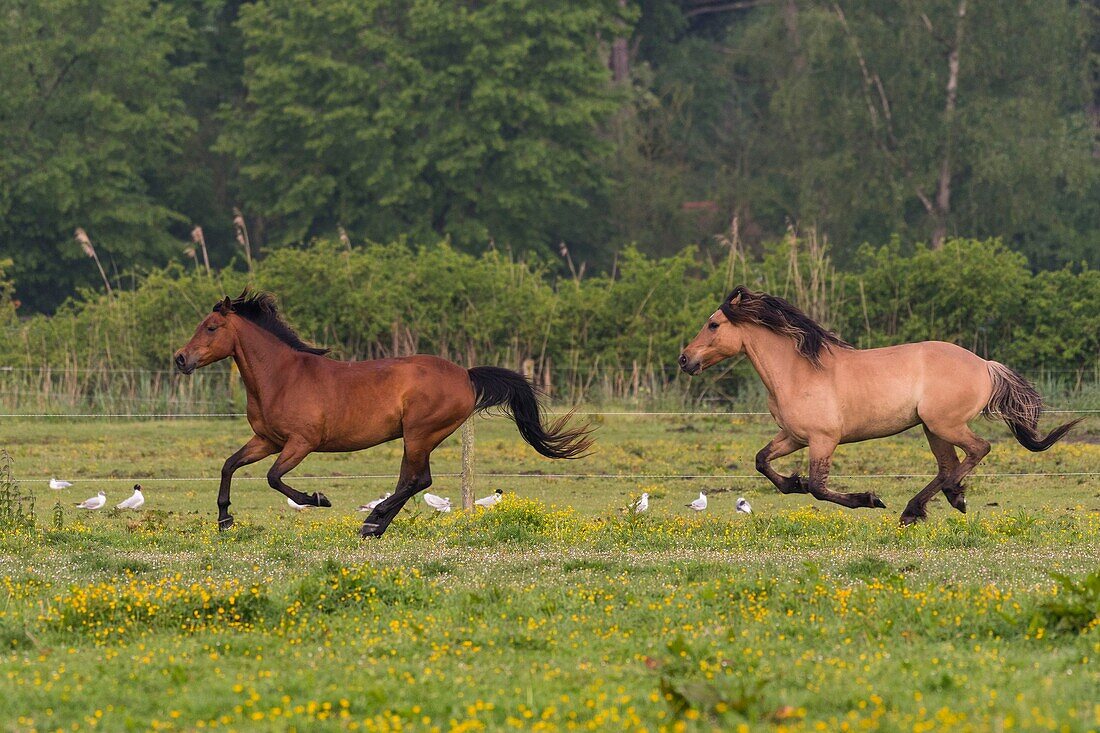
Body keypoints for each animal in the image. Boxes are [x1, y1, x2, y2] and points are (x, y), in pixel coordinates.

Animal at [173, 290, 594, 537]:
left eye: (211, 327)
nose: (180, 359)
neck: (282, 377)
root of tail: (466, 375)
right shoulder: (266, 440)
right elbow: (229, 465)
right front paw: (225, 520)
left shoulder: (300, 443)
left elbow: (274, 478)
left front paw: (318, 498)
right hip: (415, 437)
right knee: (410, 480)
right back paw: (375, 523)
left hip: (420, 434)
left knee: (417, 480)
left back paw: (371, 522)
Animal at [677, 283, 1082, 519]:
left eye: (713, 325)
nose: (684, 359)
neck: (798, 371)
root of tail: (984, 364)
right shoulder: (794, 437)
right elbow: (762, 461)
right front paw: (792, 483)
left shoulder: (824, 440)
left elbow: (820, 488)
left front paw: (869, 499)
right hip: (933, 428)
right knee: (947, 466)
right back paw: (932, 504)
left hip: (945, 424)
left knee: (977, 450)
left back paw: (935, 501)